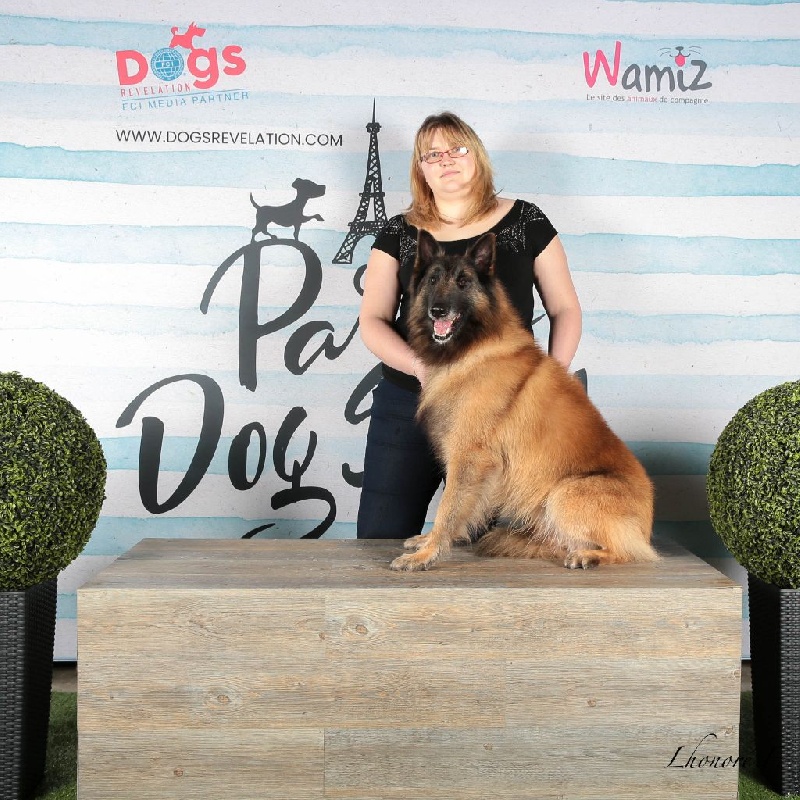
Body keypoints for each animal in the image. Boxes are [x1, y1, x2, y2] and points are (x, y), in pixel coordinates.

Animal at [389, 230, 657, 572]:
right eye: (433, 279)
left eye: (463, 282)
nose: (438, 310)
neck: (474, 348)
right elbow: (461, 508)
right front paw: (430, 542)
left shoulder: (467, 457)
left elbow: (448, 509)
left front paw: (426, 554)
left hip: (565, 493)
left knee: (630, 551)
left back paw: (589, 556)